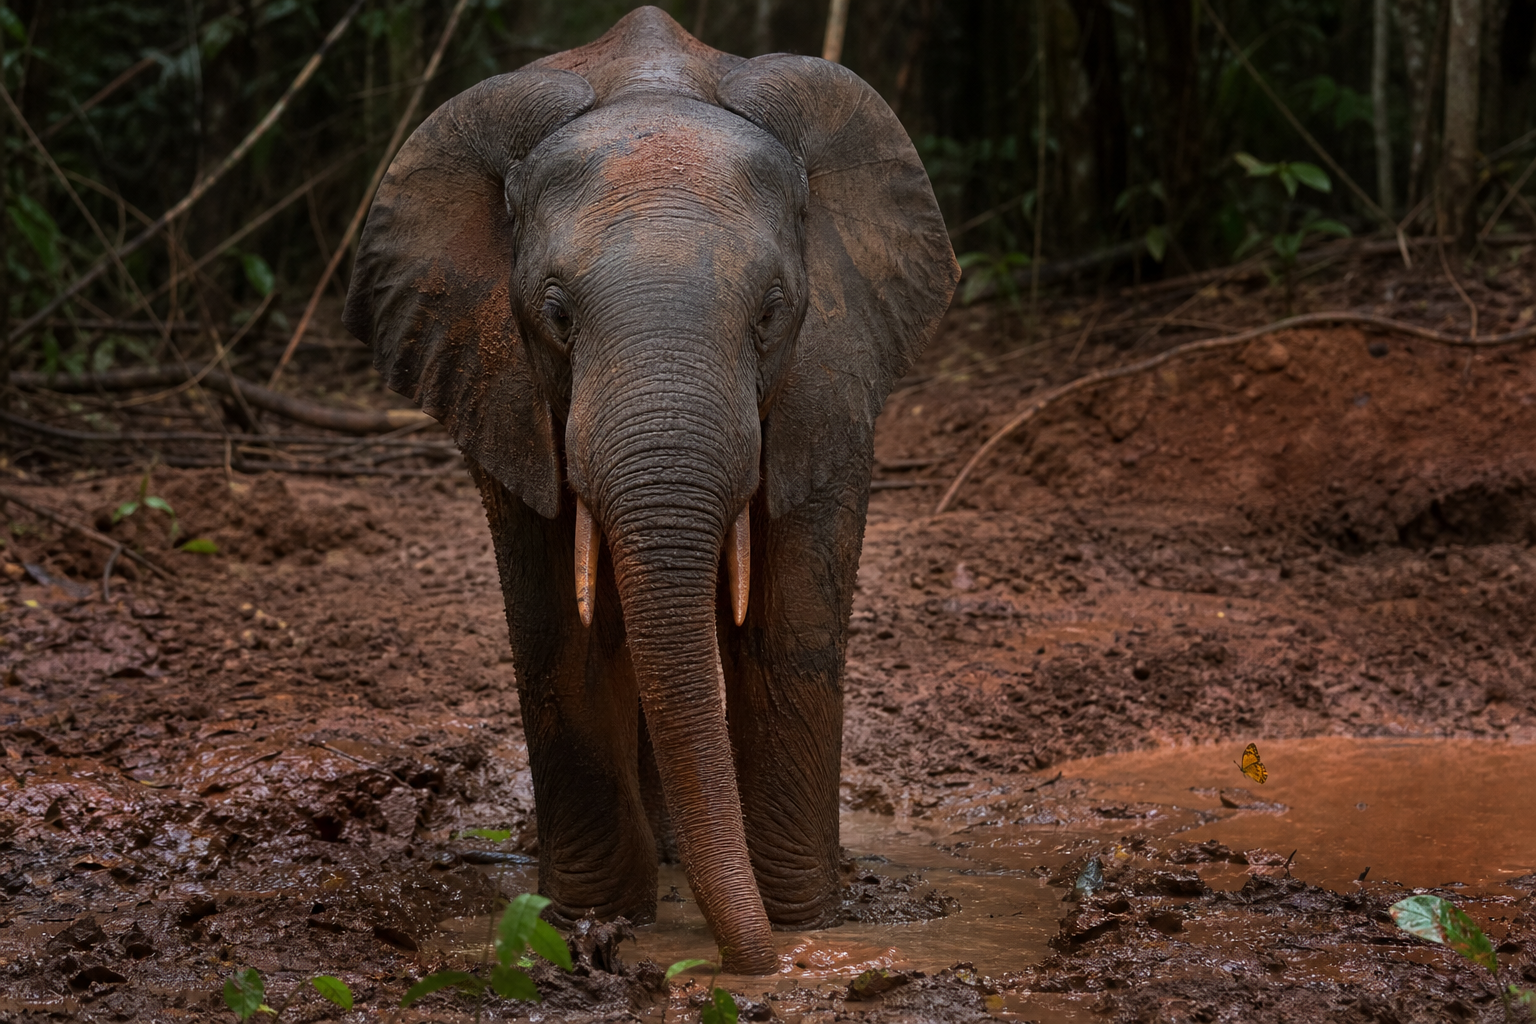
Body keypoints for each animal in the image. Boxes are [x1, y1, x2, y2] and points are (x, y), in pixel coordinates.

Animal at [342, 6, 957, 974]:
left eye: (772, 312)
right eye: (556, 314)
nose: (753, 966)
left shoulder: (833, 371)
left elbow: (793, 623)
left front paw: (805, 920)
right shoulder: (502, 385)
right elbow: (556, 627)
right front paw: (589, 916)